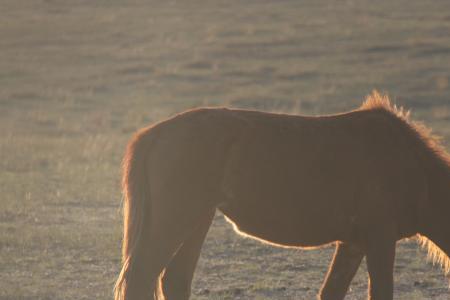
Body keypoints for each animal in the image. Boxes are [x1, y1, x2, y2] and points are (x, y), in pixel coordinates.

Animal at [114, 92, 450, 300]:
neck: (412, 166)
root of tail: (156, 132)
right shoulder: (379, 238)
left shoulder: (353, 243)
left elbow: (331, 292)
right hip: (176, 220)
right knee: (142, 278)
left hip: (198, 219)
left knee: (174, 279)